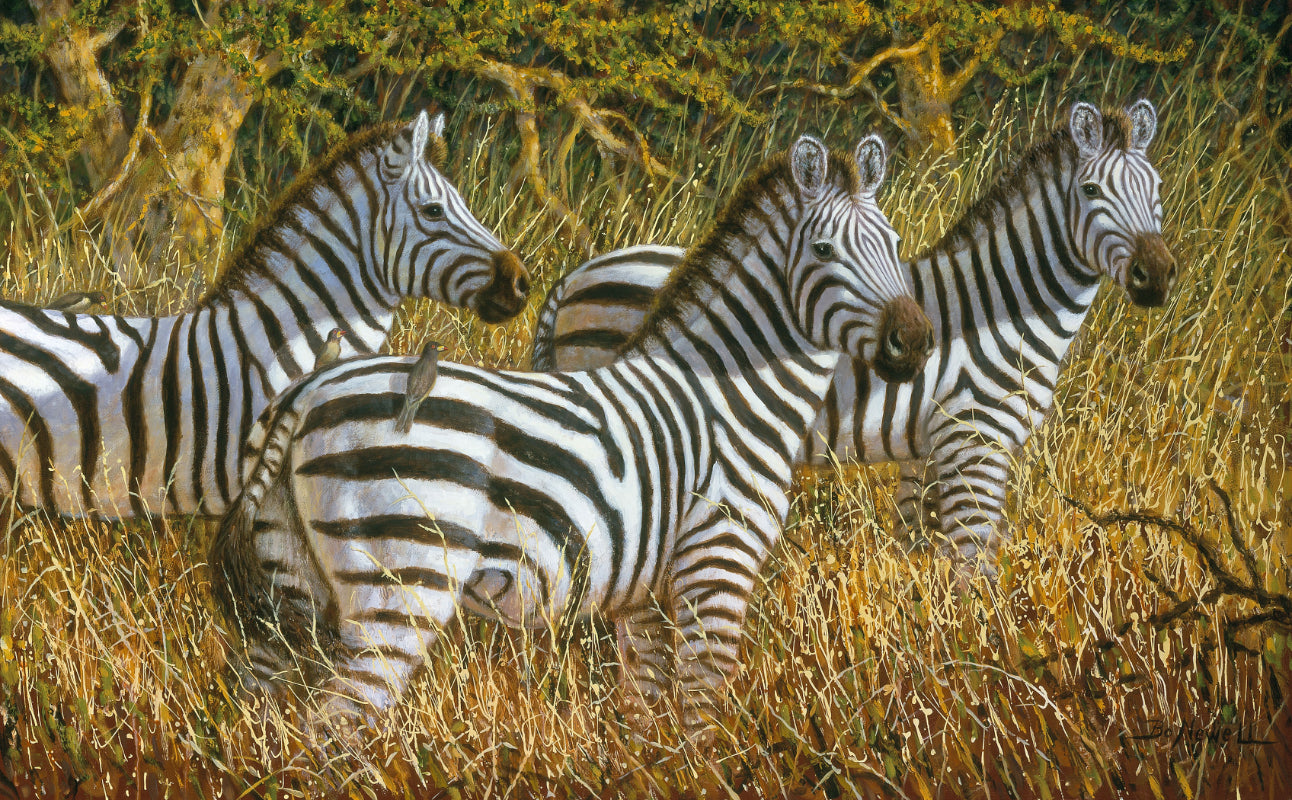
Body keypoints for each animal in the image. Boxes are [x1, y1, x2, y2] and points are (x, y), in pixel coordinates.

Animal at [210, 132, 934, 732]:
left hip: (293, 590)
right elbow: (702, 711)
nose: (918, 339)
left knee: (261, 719)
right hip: (401, 587)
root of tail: (308, 390)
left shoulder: (643, 594)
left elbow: (648, 707)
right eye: (823, 251)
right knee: (332, 729)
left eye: (896, 245)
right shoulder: (717, 567)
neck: (729, 398)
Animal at [530, 101, 1177, 573]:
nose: (1159, 276)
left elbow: (928, 550)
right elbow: (972, 563)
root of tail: (574, 278)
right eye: (1092, 192)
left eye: (1157, 189)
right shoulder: (974, 441)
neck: (1002, 306)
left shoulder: (929, 449)